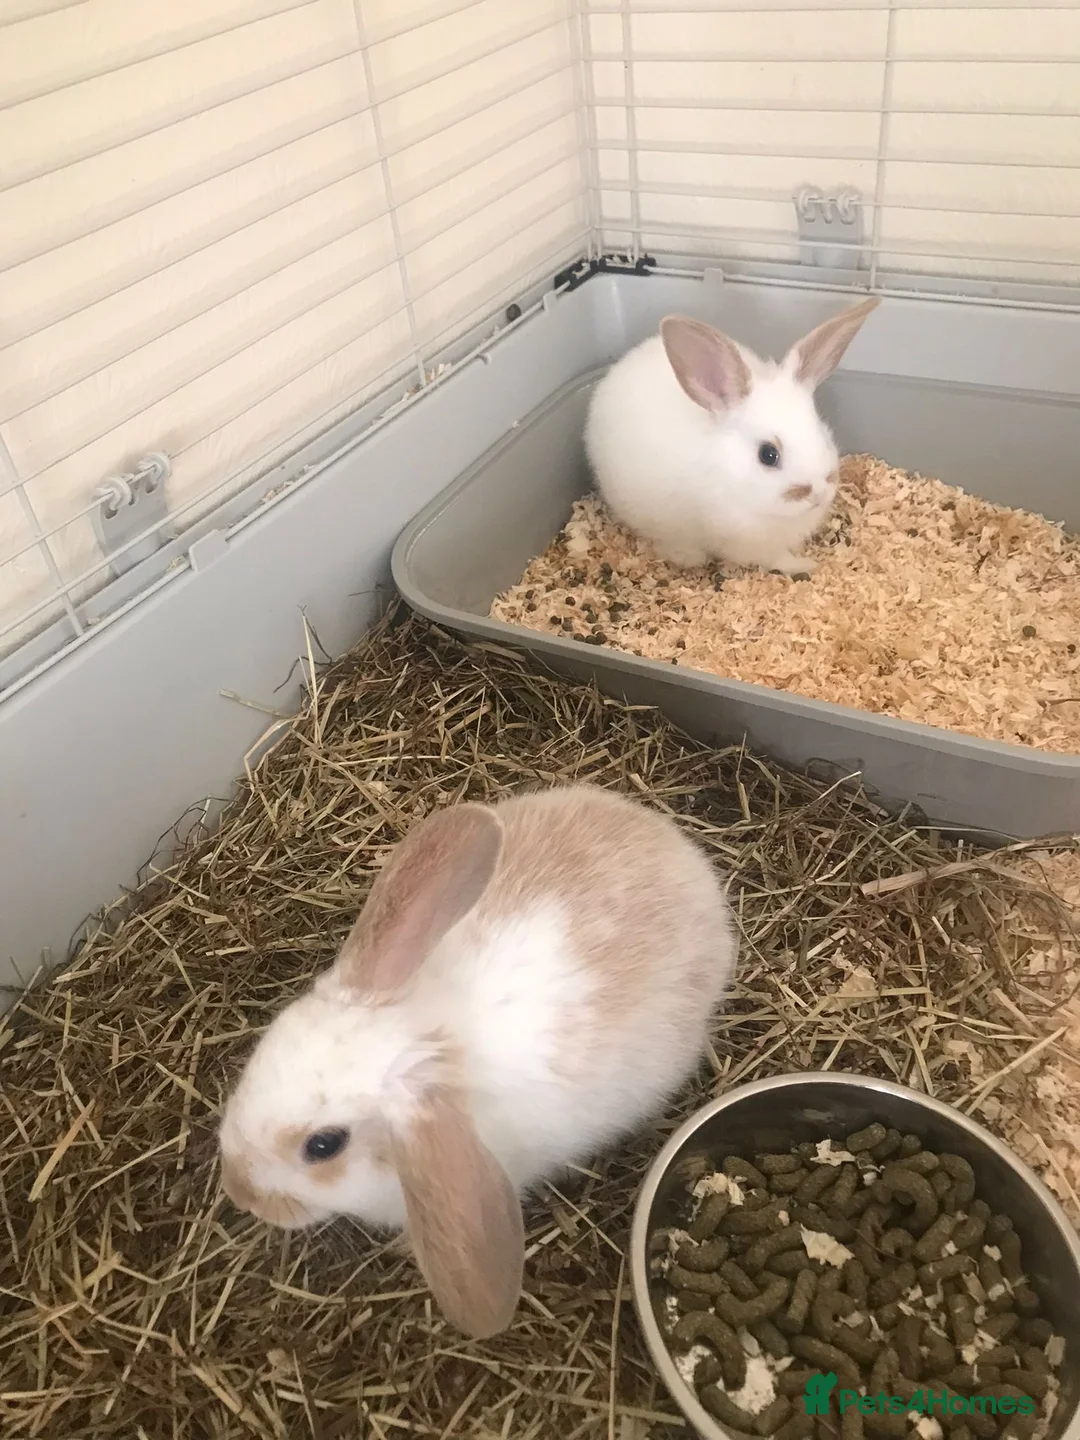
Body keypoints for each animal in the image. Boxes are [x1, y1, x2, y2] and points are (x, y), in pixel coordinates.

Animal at [584, 297, 880, 576]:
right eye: (768, 455)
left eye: (821, 429)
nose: (817, 492)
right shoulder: (753, 546)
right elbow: (777, 559)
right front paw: (805, 565)